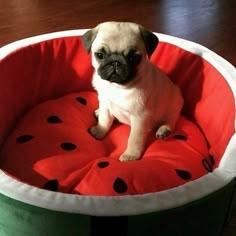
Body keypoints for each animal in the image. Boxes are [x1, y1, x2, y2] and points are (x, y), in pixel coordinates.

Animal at [82, 21, 183, 161]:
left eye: (133, 57)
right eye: (100, 55)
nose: (115, 62)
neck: (117, 87)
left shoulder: (140, 118)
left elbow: (134, 139)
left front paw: (131, 155)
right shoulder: (105, 104)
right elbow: (104, 120)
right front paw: (99, 131)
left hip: (173, 105)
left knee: (171, 120)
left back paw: (164, 130)